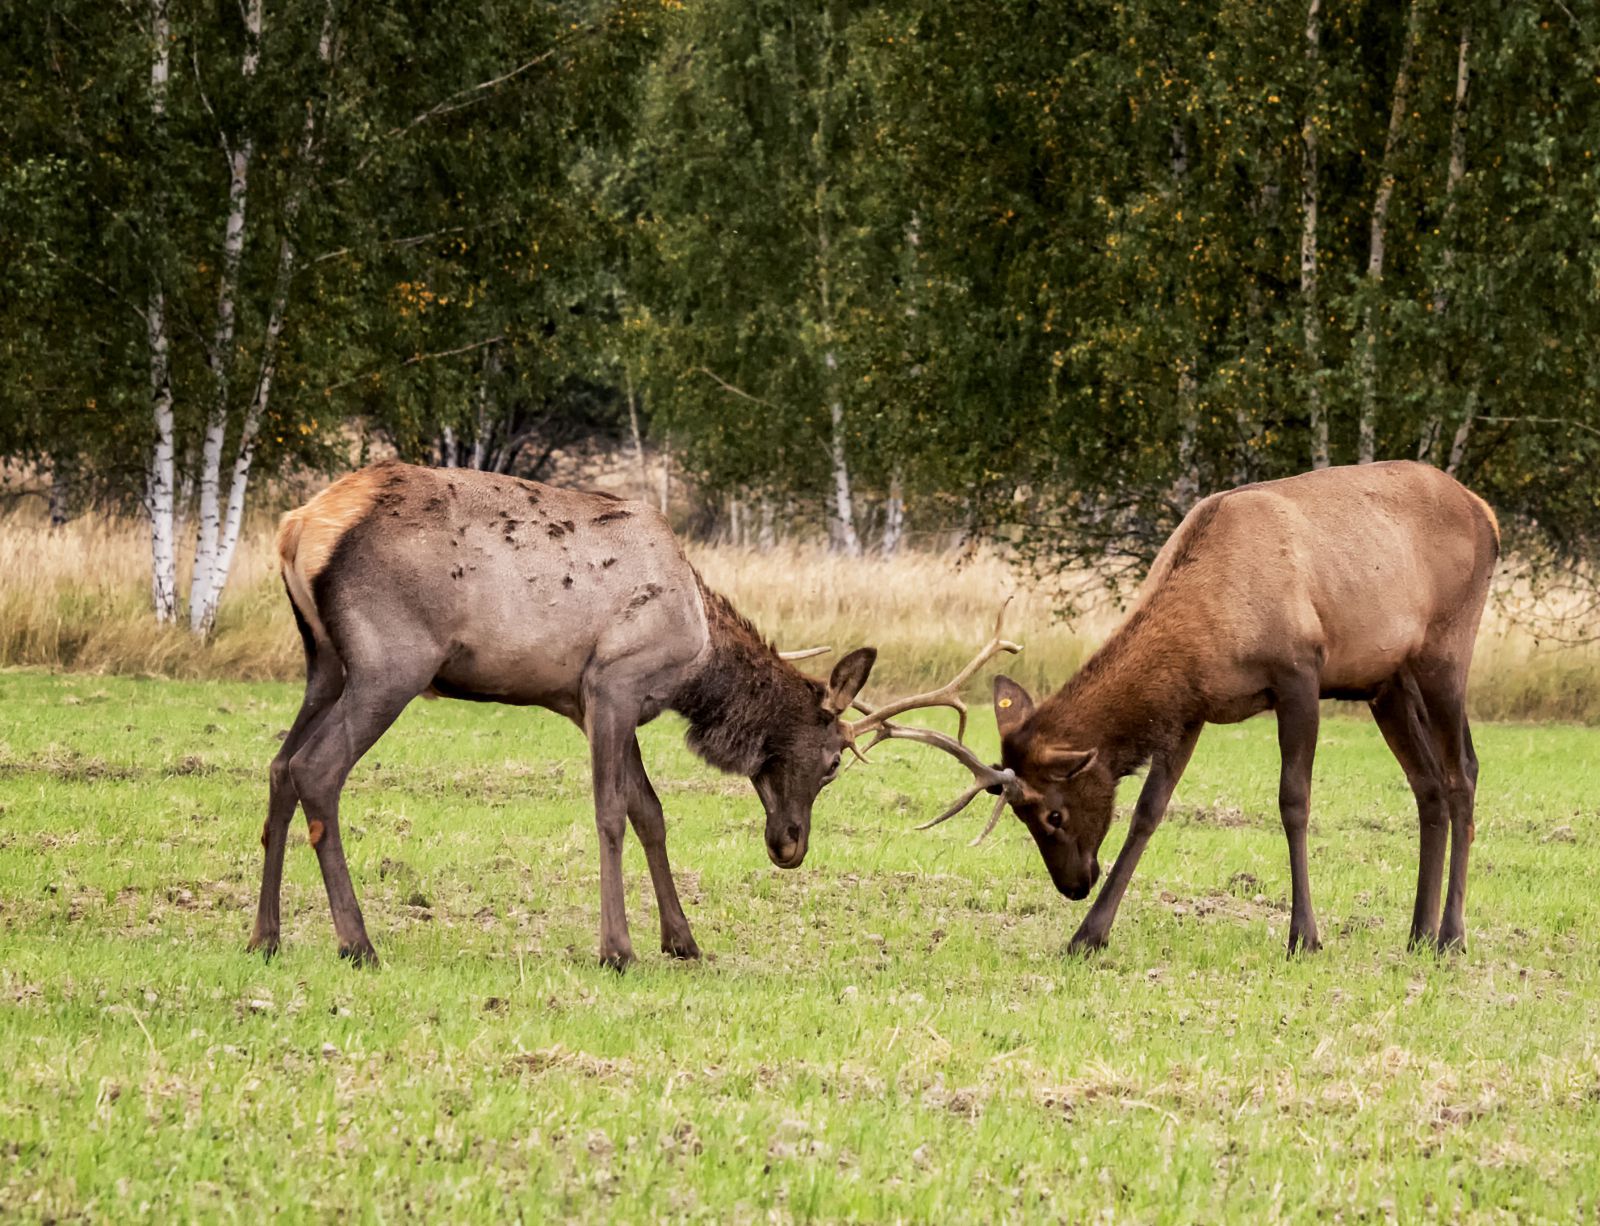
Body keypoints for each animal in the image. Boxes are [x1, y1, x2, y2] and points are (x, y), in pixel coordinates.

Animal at [246, 460, 998, 973]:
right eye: (834, 759)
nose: (790, 846)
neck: (698, 656)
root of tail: (297, 528)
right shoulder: (612, 683)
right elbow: (611, 812)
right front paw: (617, 947)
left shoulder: (595, 704)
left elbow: (650, 812)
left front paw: (683, 940)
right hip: (391, 662)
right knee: (318, 769)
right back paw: (357, 941)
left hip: (325, 662)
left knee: (280, 766)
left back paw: (265, 935)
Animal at [915, 460, 1497, 960]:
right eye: (1019, 815)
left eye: (1052, 813)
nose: (1074, 885)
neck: (1205, 629)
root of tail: (1486, 512)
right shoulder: (1191, 708)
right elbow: (1147, 812)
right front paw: (1088, 936)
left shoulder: (1299, 674)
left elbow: (1294, 801)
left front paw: (1304, 936)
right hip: (1386, 682)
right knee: (1428, 785)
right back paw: (1418, 933)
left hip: (1446, 650)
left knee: (1463, 773)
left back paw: (1451, 937)